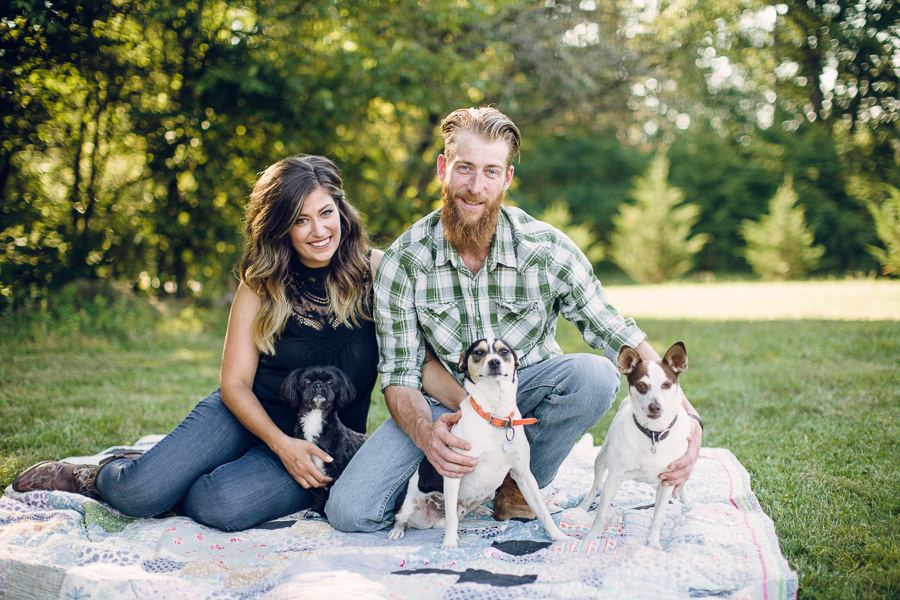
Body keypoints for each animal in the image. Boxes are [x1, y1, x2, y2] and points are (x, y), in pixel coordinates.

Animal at [280, 364, 368, 512]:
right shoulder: (310, 471)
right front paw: (316, 510)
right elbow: (318, 495)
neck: (315, 417)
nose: (318, 385)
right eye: (306, 382)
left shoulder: (337, 468)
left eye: (330, 382)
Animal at [388, 338, 568, 548]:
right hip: (407, 508)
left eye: (504, 351)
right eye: (479, 353)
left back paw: (482, 510)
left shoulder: (523, 474)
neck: (495, 415)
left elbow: (543, 512)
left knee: (463, 511)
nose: (494, 362)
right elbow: (452, 520)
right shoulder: (453, 472)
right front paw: (449, 543)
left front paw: (558, 535)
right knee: (404, 520)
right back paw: (397, 531)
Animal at [576, 342, 696, 548]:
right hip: (601, 459)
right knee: (595, 485)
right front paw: (591, 537)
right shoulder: (613, 479)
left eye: (666, 385)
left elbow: (657, 517)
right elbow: (601, 514)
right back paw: (583, 506)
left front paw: (653, 544)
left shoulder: (668, 481)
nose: (655, 406)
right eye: (641, 386)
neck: (653, 434)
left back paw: (687, 501)